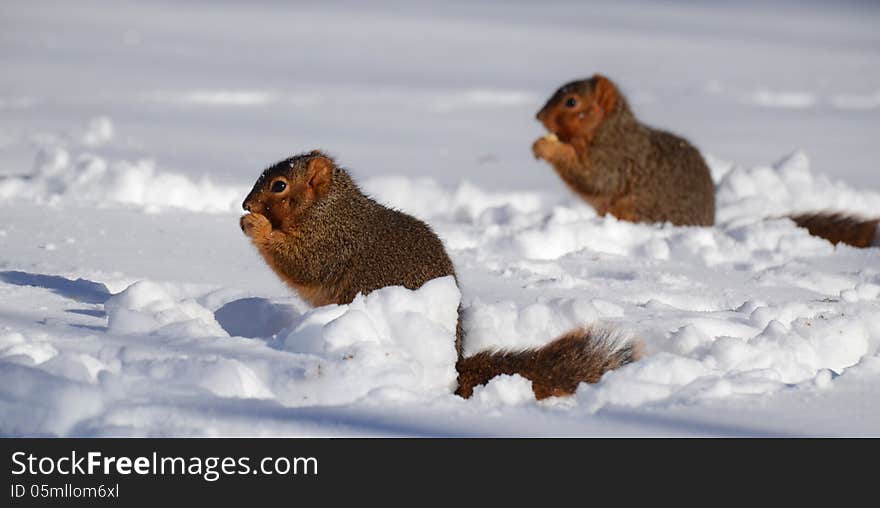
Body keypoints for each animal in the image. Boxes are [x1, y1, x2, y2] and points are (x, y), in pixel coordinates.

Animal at [241, 149, 640, 398]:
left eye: (279, 185)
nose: (246, 203)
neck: (327, 207)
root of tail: (453, 364)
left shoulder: (331, 241)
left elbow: (302, 263)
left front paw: (256, 225)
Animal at [532, 74, 876, 247]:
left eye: (571, 102)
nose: (538, 116)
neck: (608, 128)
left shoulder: (617, 157)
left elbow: (595, 179)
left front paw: (546, 148)